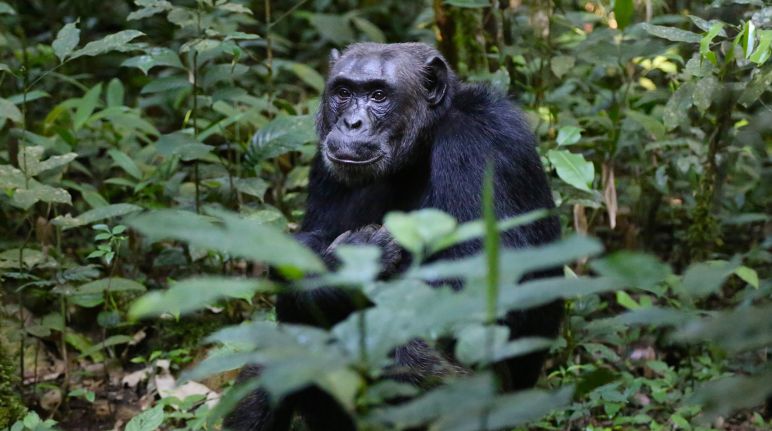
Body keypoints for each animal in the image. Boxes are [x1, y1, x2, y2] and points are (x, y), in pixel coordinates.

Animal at [223, 43, 560, 431]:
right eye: (343, 92)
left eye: (379, 95)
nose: (351, 123)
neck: (420, 146)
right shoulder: (324, 165)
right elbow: (309, 243)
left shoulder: (482, 143)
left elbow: (488, 286)